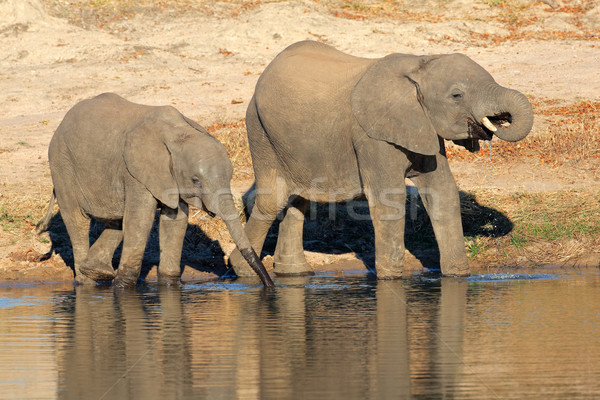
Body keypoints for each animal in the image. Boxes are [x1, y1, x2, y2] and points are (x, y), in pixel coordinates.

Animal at [39, 93, 276, 288]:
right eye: (196, 180)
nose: (269, 286)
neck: (178, 132)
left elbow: (175, 220)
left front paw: (169, 284)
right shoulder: (136, 172)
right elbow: (141, 220)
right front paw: (123, 287)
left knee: (117, 220)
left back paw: (96, 272)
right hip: (62, 164)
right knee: (77, 220)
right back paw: (85, 280)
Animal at [230, 39, 536, 278]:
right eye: (457, 95)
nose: (499, 120)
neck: (419, 64)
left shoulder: (422, 124)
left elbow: (442, 191)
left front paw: (458, 276)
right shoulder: (371, 137)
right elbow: (390, 198)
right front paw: (391, 279)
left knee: (298, 200)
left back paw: (295, 273)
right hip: (259, 131)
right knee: (274, 199)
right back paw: (243, 270)